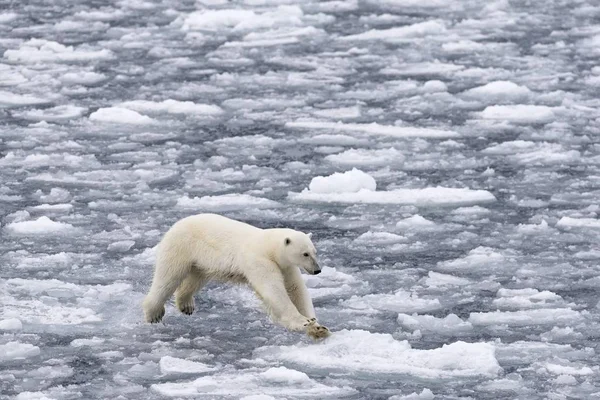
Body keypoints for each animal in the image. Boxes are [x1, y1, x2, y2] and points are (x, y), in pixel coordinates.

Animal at [142, 214, 330, 340]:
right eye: (305, 254)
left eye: (315, 251)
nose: (317, 270)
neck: (268, 245)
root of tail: (176, 224)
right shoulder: (258, 260)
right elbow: (274, 290)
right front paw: (303, 322)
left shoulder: (286, 267)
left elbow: (296, 290)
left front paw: (318, 327)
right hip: (181, 247)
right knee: (168, 277)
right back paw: (154, 314)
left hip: (201, 261)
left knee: (195, 279)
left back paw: (186, 305)